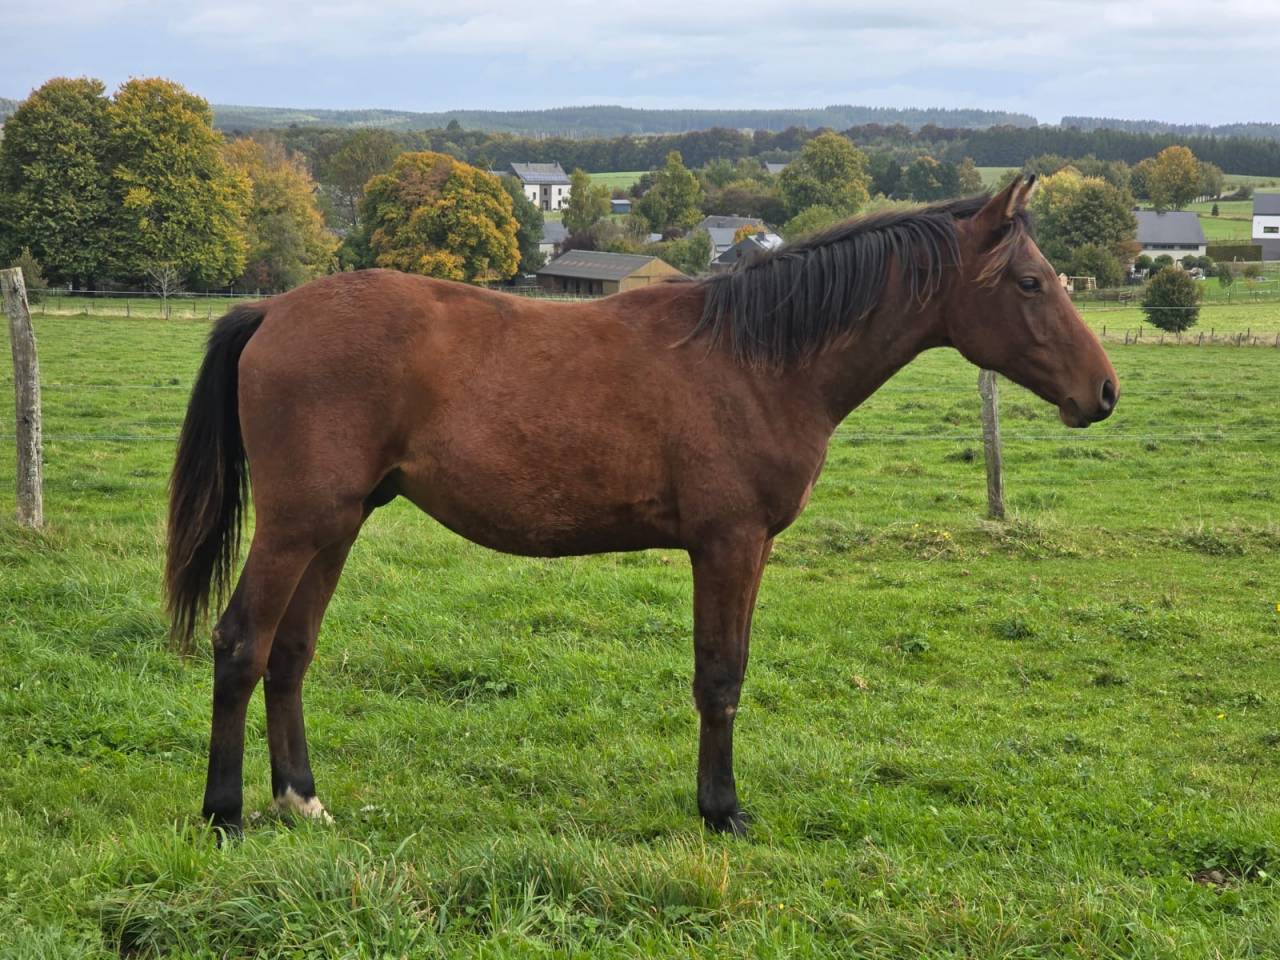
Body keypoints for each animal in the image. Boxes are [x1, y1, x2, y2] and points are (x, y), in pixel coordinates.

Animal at [167, 177, 1118, 836]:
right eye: (1030, 283)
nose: (1103, 393)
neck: (759, 360)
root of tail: (273, 310)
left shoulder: (749, 548)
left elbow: (728, 672)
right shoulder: (728, 544)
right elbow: (720, 678)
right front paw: (722, 810)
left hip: (336, 526)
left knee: (290, 654)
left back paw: (301, 802)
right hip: (297, 527)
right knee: (241, 644)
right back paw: (224, 814)